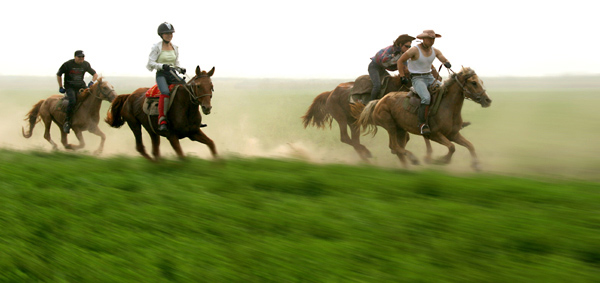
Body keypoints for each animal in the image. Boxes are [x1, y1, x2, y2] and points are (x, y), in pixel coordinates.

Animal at [352, 68, 492, 171]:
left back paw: (407, 167)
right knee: (394, 146)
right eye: (473, 82)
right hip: (390, 126)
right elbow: (452, 147)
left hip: (400, 129)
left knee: (397, 148)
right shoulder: (435, 134)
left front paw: (476, 165)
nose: (487, 100)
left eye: (481, 81)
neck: (447, 106)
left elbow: (470, 145)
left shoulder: (453, 134)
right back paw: (414, 159)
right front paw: (441, 160)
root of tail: (378, 101)